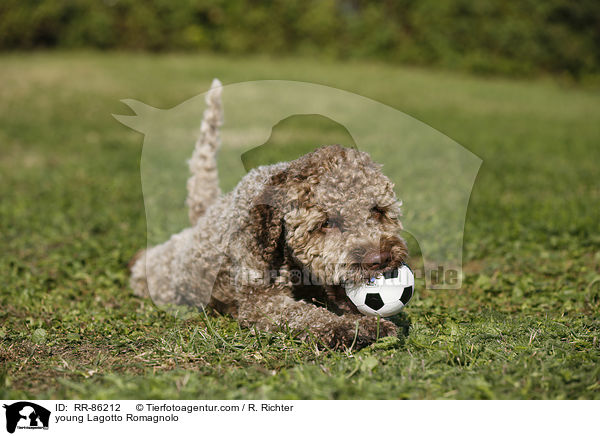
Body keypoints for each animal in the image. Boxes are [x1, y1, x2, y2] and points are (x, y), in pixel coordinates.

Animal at [131, 80, 408, 350]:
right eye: (325, 223)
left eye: (378, 210)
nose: (380, 258)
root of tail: (205, 214)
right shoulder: (261, 302)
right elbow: (306, 315)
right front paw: (352, 328)